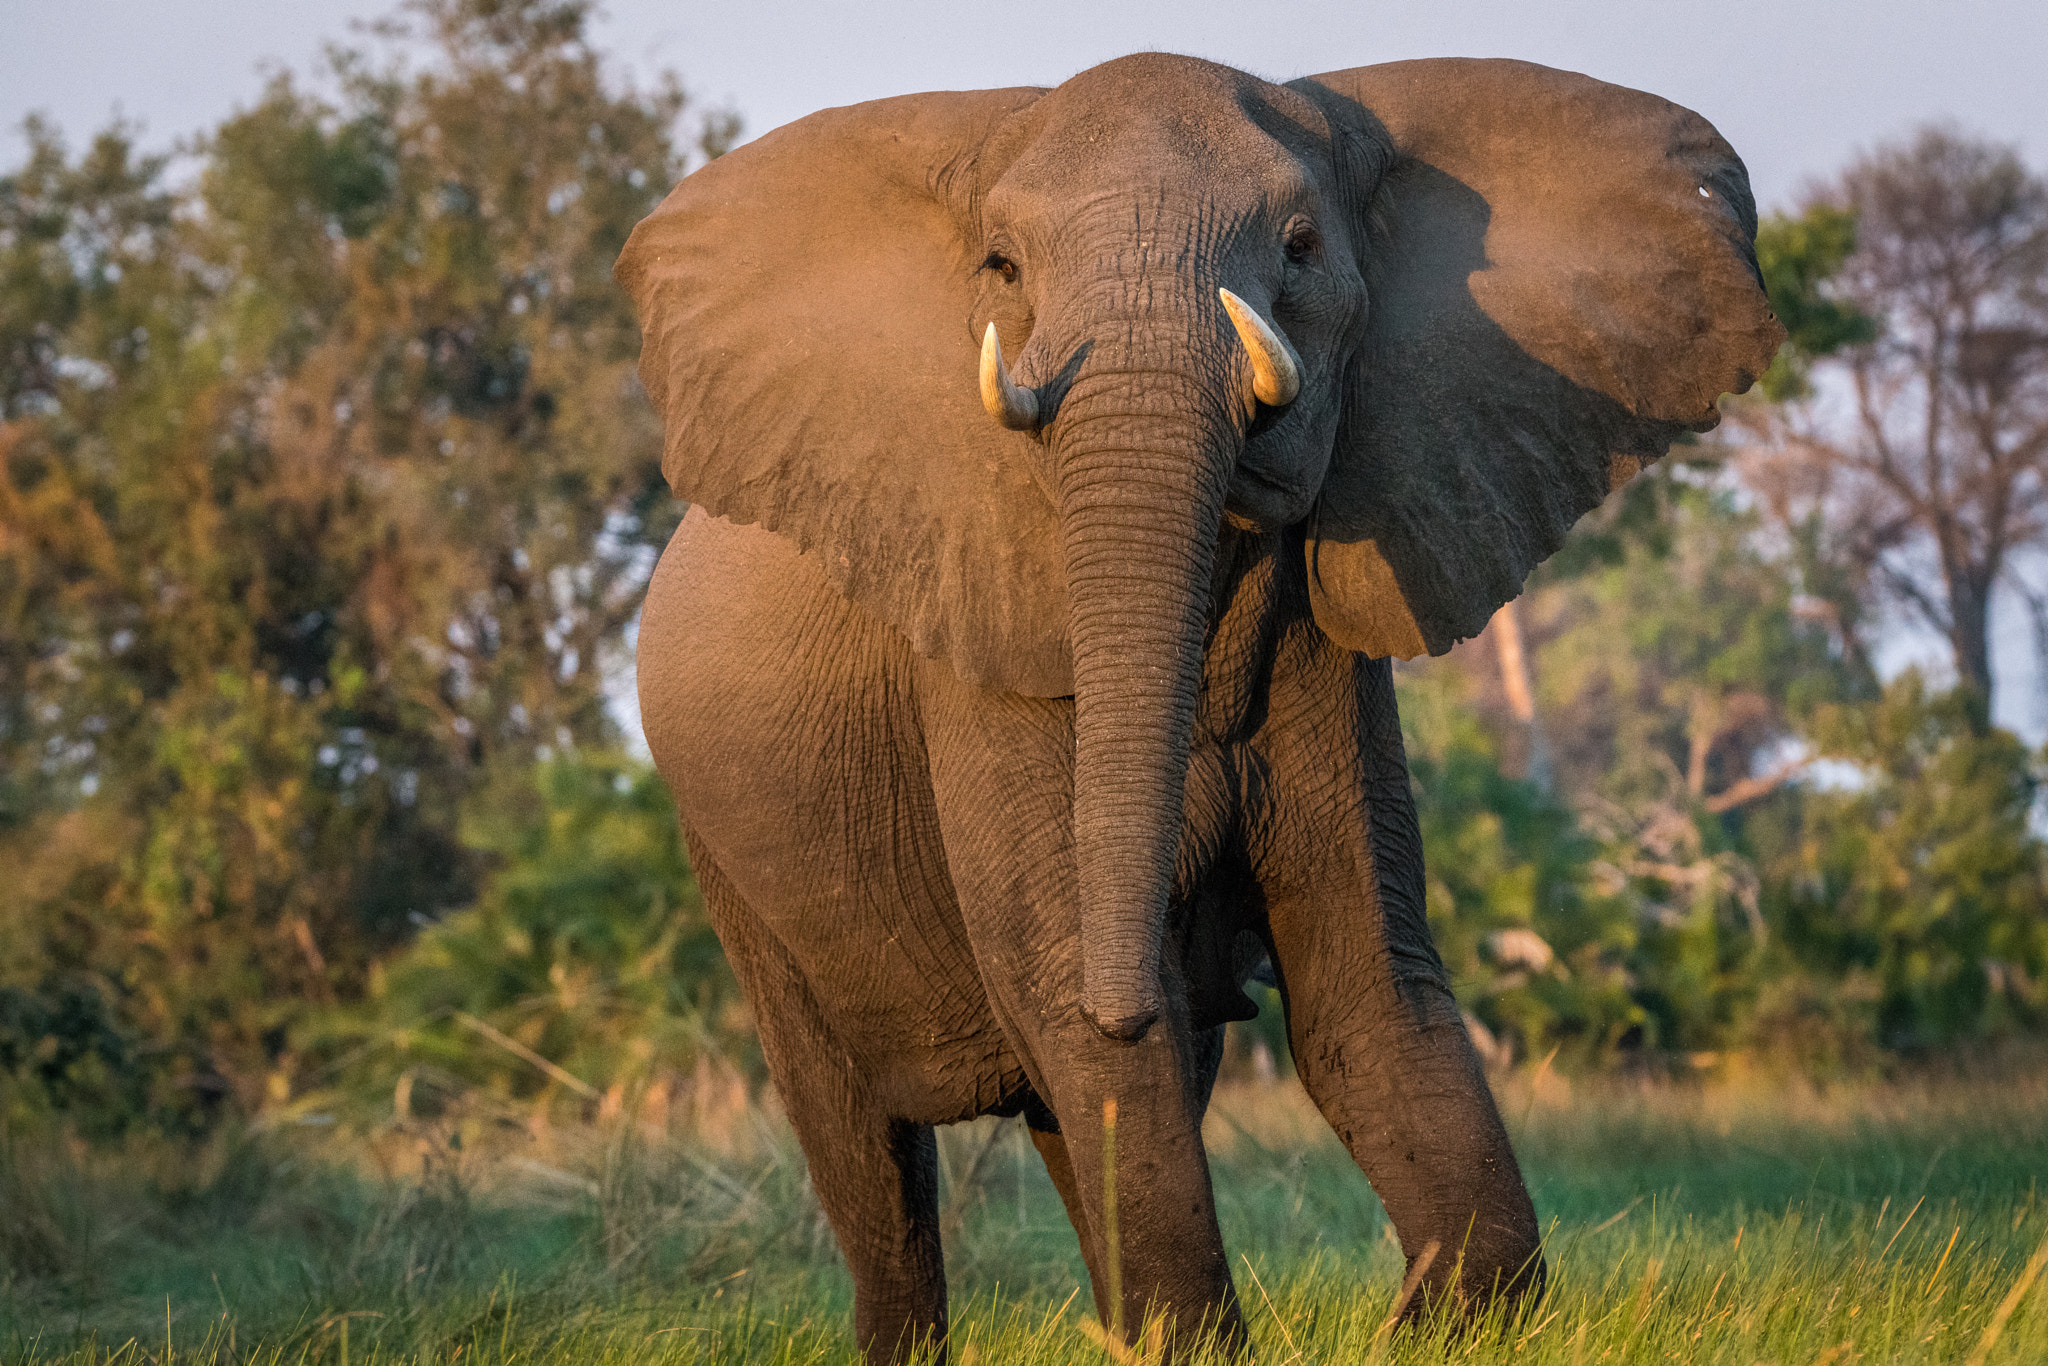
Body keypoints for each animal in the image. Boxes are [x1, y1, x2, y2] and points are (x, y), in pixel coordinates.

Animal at [618, 50, 1777, 1366]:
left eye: (1300, 245)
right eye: (1001, 269)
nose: (1184, 941)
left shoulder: (1324, 644)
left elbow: (1360, 982)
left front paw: (1442, 1321)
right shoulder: (979, 658)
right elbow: (1073, 996)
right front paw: (1196, 1335)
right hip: (726, 856)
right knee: (863, 1139)